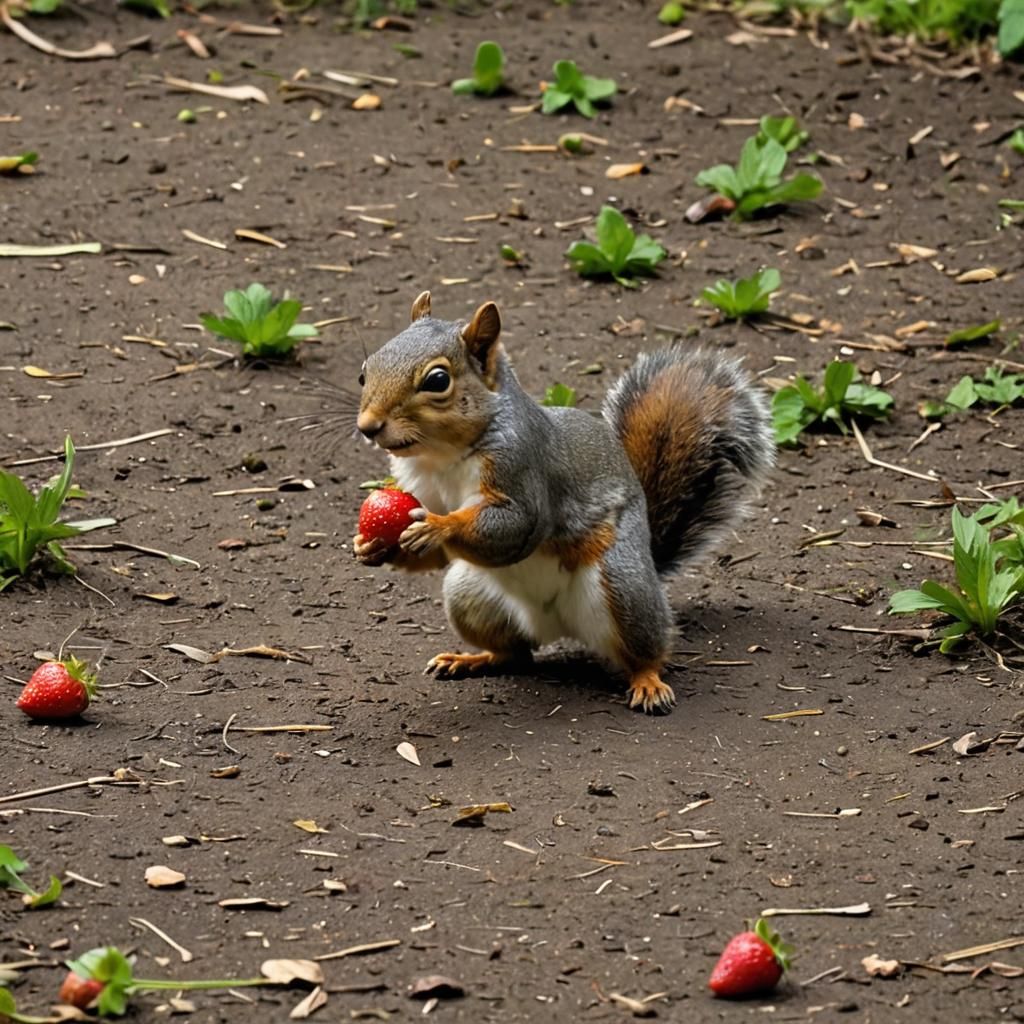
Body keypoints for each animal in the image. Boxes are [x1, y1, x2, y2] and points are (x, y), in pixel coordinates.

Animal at [352, 291, 775, 713]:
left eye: (438, 380)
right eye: (364, 372)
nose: (367, 427)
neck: (443, 456)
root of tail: (555, 625)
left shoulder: (523, 469)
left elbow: (515, 525)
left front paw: (440, 526)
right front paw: (371, 546)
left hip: (624, 588)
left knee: (649, 649)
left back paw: (649, 682)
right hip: (467, 593)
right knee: (516, 655)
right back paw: (470, 660)